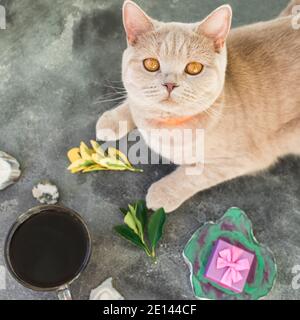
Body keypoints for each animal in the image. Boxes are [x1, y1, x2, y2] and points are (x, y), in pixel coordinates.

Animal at [95, 1, 300, 212]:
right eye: (151, 64)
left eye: (194, 68)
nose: (170, 84)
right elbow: (134, 99)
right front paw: (113, 121)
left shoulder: (245, 159)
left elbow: (194, 174)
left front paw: (163, 193)